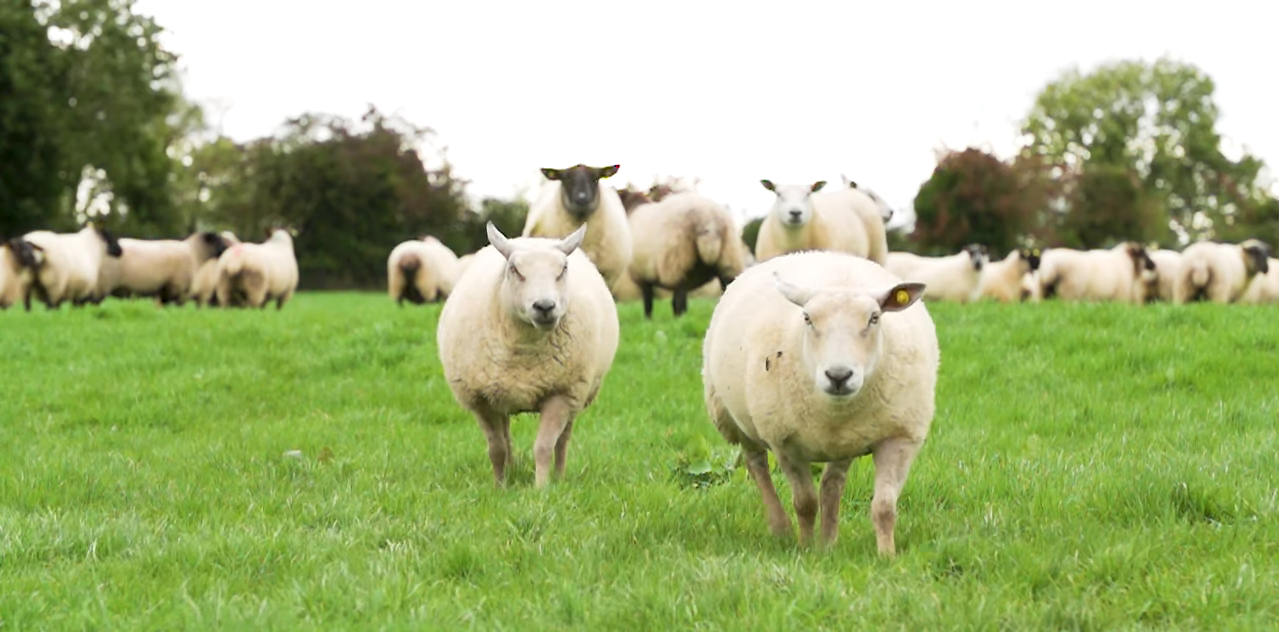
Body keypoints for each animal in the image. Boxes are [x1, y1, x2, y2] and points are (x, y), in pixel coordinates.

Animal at [95, 231, 229, 306]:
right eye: (219, 240)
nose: (229, 247)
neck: (194, 253)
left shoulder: (164, 290)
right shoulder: (177, 289)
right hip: (104, 281)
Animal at [437, 222, 620, 488]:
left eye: (563, 269)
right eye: (514, 269)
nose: (544, 306)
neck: (523, 350)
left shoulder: (560, 393)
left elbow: (543, 447)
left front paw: (541, 489)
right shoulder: (480, 399)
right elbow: (496, 449)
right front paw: (499, 487)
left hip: (577, 391)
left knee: (563, 441)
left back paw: (560, 477)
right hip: (500, 393)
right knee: (506, 437)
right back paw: (511, 471)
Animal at [624, 189, 749, 318]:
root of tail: (707, 218)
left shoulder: (642, 275)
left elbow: (648, 302)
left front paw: (648, 319)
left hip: (678, 261)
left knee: (679, 297)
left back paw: (679, 318)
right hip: (728, 258)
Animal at [702, 250, 937, 555]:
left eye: (874, 318)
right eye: (807, 318)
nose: (838, 375)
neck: (836, 410)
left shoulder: (900, 437)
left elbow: (884, 507)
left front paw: (887, 556)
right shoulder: (785, 443)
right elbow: (804, 503)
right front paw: (804, 547)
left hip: (846, 441)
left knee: (831, 485)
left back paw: (828, 543)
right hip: (735, 420)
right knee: (757, 466)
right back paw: (782, 529)